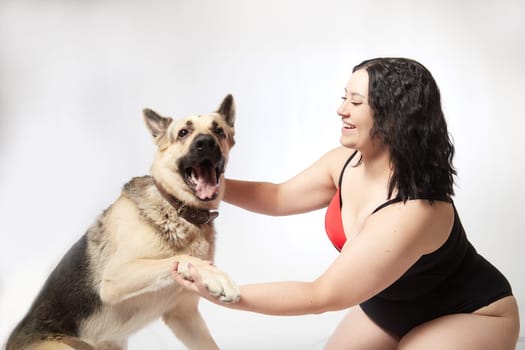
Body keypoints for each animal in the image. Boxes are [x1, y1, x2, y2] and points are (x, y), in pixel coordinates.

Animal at [6, 95, 241, 350]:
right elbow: (180, 258)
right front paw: (216, 276)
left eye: (218, 130)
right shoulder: (114, 279)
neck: (176, 208)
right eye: (183, 133)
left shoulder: (184, 317)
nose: (206, 143)